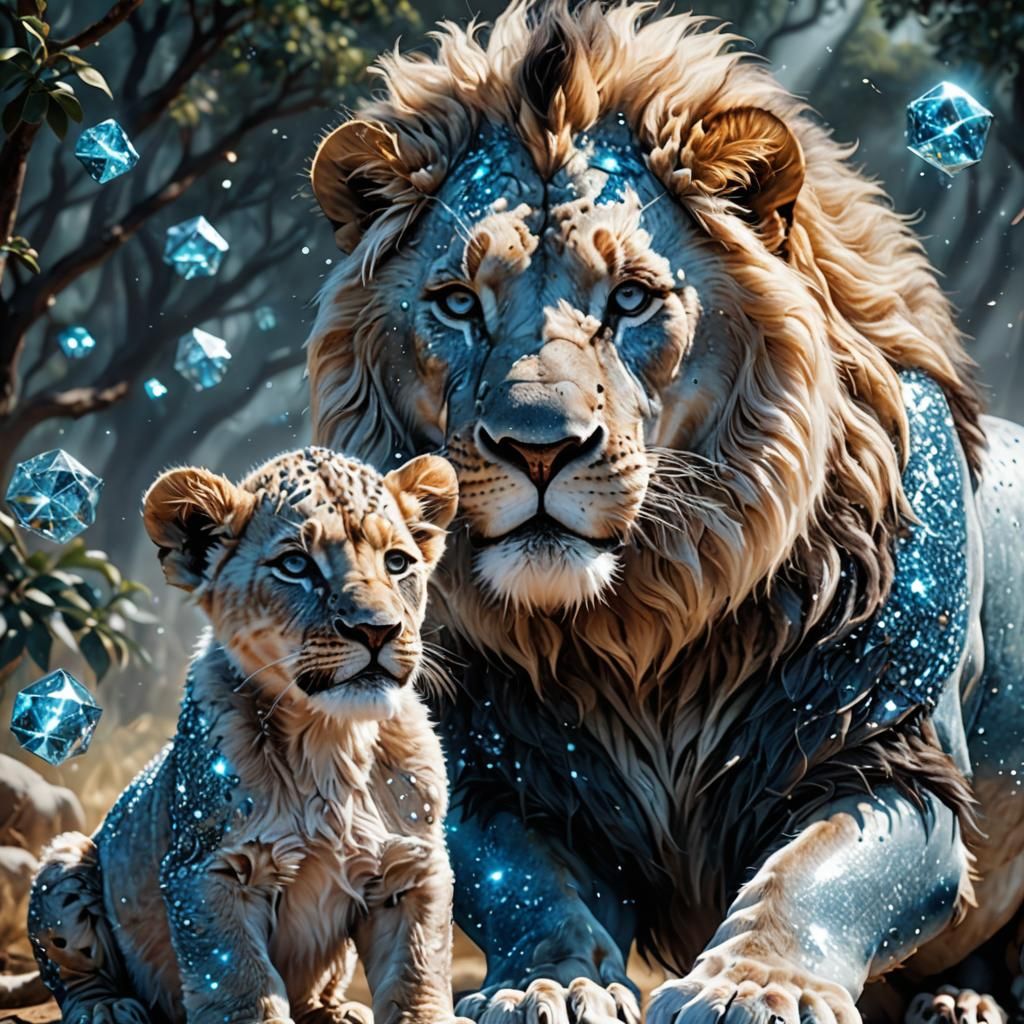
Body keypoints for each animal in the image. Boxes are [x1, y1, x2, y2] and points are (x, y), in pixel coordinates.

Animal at [28, 448, 466, 1024]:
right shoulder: (205, 872)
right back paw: (109, 1007)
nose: (377, 629)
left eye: (397, 562)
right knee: (72, 970)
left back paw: (339, 1011)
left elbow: (416, 975)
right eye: (296, 565)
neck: (331, 742)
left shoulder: (411, 869)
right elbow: (242, 985)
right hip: (66, 858)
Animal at [305, 3, 1024, 1024]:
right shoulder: (489, 766)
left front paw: (754, 988)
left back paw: (961, 1003)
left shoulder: (887, 753)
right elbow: (525, 883)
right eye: (456, 304)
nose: (537, 446)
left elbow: (820, 875)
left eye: (634, 298)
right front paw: (552, 984)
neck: (645, 625)